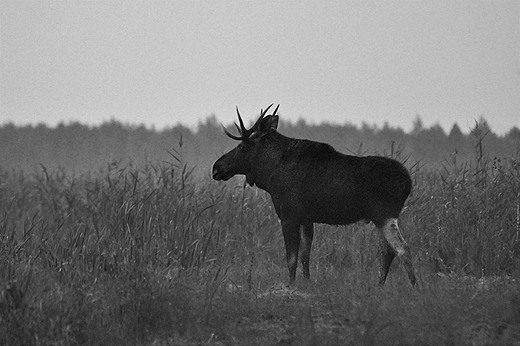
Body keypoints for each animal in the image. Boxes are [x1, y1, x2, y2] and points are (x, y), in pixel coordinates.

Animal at [212, 104, 418, 286]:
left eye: (241, 147)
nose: (217, 167)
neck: (270, 174)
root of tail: (407, 181)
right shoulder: (306, 219)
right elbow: (305, 256)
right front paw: (307, 282)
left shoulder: (289, 217)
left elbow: (291, 258)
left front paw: (291, 285)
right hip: (381, 218)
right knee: (388, 251)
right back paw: (379, 286)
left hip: (384, 215)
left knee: (402, 248)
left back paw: (415, 287)